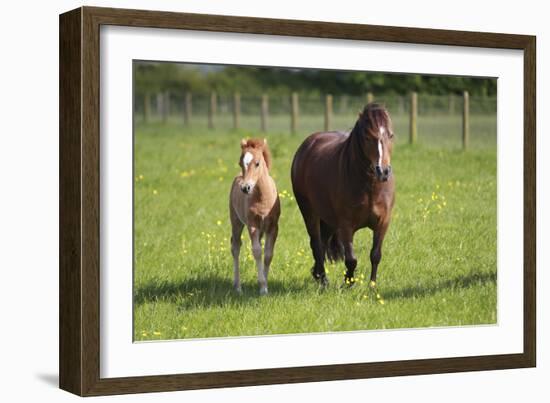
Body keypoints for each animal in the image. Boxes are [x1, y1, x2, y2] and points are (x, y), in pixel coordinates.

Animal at [230, 140, 280, 296]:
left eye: (257, 163)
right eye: (240, 163)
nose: (245, 188)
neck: (262, 199)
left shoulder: (273, 227)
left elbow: (268, 254)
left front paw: (265, 283)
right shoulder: (252, 226)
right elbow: (257, 251)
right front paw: (263, 286)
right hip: (236, 221)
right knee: (235, 246)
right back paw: (237, 287)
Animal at [292, 103, 394, 288]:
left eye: (391, 135)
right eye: (367, 137)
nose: (383, 172)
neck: (370, 187)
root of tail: (307, 145)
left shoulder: (383, 222)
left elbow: (375, 255)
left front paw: (372, 285)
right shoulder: (346, 225)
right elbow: (351, 259)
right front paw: (348, 283)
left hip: (329, 219)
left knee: (323, 242)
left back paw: (317, 274)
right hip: (309, 212)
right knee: (316, 244)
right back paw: (323, 280)